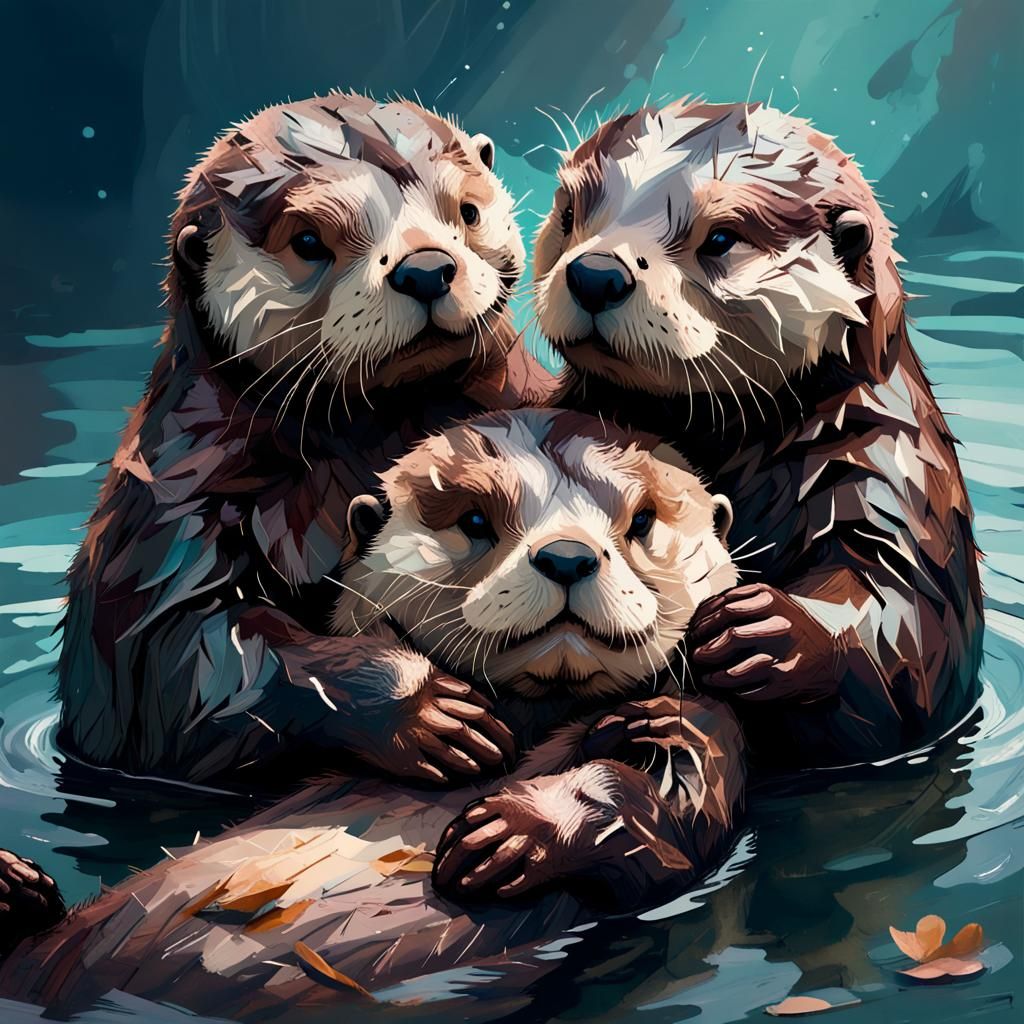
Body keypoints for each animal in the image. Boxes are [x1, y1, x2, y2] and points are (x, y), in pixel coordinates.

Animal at [0, 411, 745, 1019]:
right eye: (475, 520)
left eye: (642, 520)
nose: (567, 556)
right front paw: (435, 719)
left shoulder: (702, 720)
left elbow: (668, 807)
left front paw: (508, 832)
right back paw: (16, 885)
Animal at [57, 91, 556, 782]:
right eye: (310, 241)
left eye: (468, 211)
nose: (427, 268)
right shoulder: (168, 498)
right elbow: (171, 655)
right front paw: (425, 709)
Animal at [534, 98, 983, 767]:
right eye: (570, 214)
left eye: (720, 237)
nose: (596, 272)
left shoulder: (891, 465)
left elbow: (911, 618)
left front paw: (766, 629)